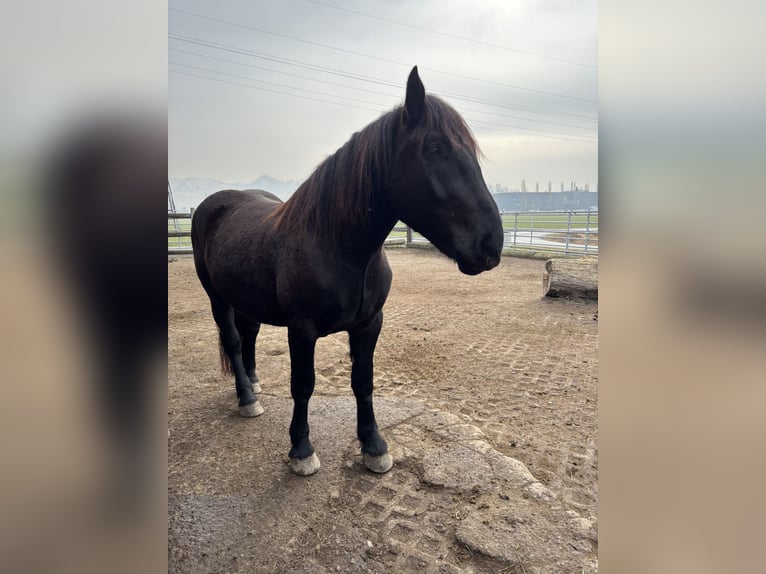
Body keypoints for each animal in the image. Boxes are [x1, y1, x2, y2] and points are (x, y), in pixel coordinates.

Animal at [191, 66, 503, 476]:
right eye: (435, 148)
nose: (491, 244)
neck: (339, 246)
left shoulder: (369, 324)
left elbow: (363, 382)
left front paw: (373, 445)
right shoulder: (301, 330)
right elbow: (303, 385)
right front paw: (301, 450)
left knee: (248, 337)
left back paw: (255, 385)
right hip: (217, 298)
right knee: (231, 340)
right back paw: (246, 399)